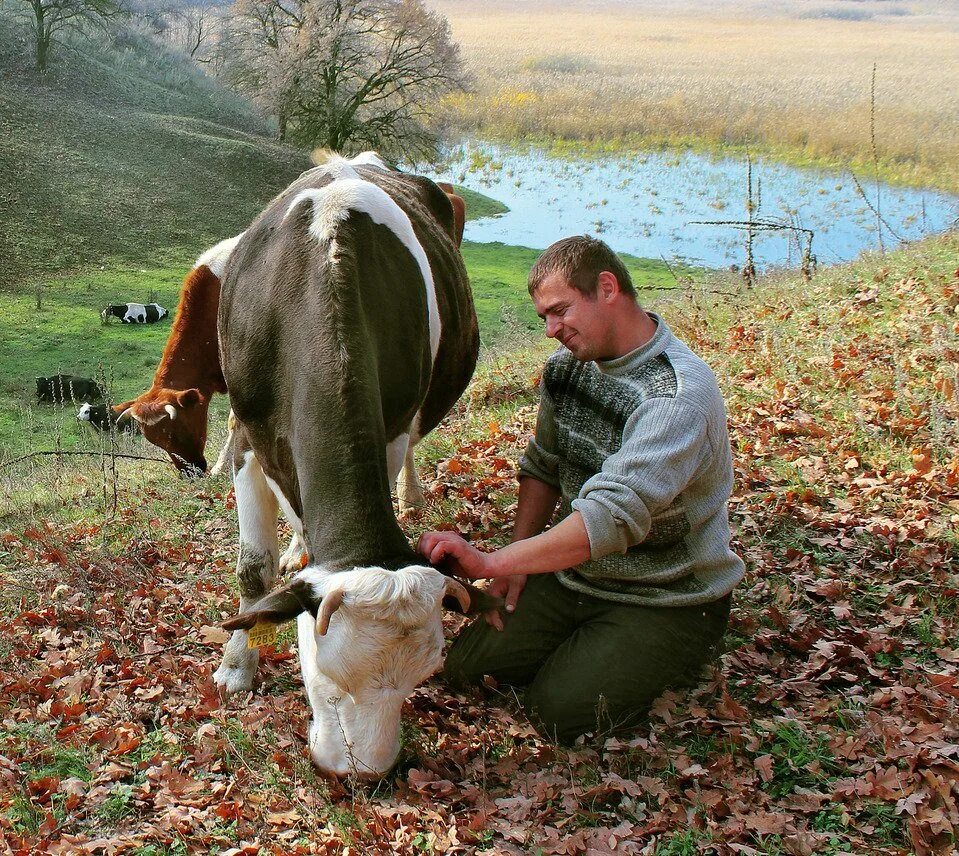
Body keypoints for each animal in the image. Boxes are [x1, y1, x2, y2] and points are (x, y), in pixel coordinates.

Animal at [214, 150, 492, 780]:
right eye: (324, 674)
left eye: (417, 681)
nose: (364, 775)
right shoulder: (247, 436)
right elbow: (253, 572)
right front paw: (237, 667)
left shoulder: (390, 429)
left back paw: (410, 496)